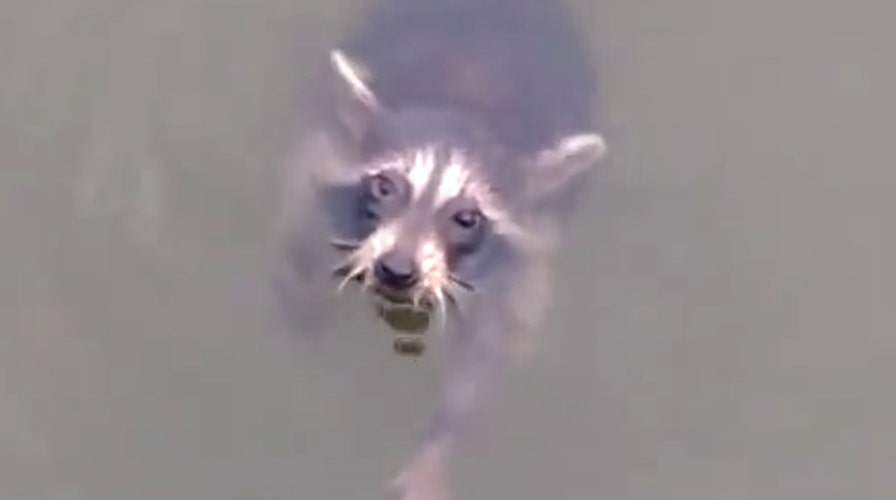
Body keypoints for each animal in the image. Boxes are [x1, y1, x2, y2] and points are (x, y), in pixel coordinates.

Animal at [272, 0, 607, 497]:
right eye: (385, 186)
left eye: (467, 218)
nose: (397, 269)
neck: (468, 109)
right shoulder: (322, 153)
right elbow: (298, 230)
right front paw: (300, 303)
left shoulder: (529, 253)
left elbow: (494, 352)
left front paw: (443, 439)